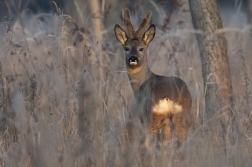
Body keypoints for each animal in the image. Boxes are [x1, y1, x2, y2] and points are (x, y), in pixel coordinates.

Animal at [115, 8, 192, 147]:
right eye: (126, 48)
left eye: (141, 48)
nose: (133, 58)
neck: (140, 85)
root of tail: (168, 98)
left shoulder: (143, 116)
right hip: (183, 116)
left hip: (153, 118)